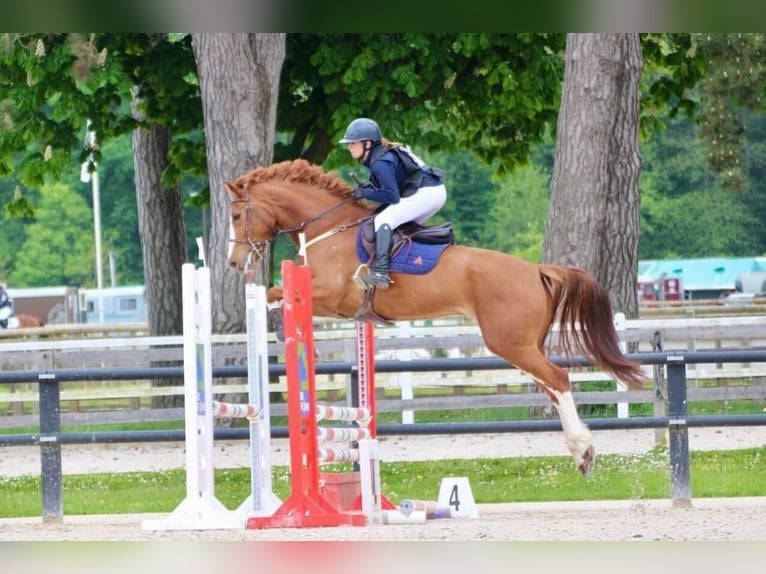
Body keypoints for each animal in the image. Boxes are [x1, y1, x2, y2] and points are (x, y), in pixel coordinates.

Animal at [225, 159, 644, 476]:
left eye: (236, 214)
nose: (233, 262)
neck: (327, 229)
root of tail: (536, 269)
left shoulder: (331, 295)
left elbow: (275, 293)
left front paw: (280, 324)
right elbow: (276, 293)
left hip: (508, 342)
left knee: (558, 379)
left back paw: (583, 450)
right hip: (526, 343)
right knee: (551, 386)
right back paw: (581, 452)